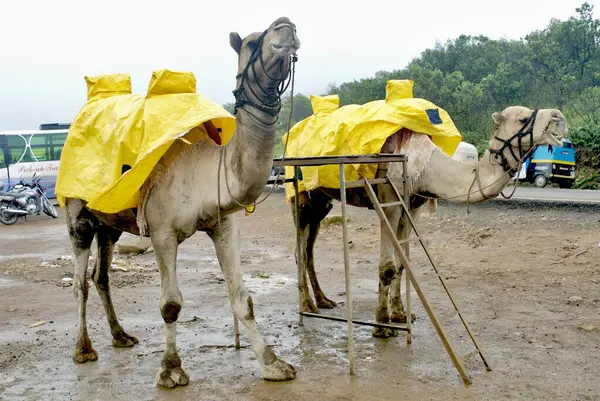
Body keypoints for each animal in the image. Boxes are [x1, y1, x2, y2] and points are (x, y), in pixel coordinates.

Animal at [63, 17, 300, 390]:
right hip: (79, 213)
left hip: (111, 224)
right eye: (250, 42)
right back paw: (83, 349)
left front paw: (274, 364)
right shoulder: (162, 232)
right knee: (79, 282)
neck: (208, 168)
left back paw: (121, 336)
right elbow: (171, 305)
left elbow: (242, 298)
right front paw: (171, 371)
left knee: (101, 276)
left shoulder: (223, 225)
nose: (285, 26)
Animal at [290, 104, 568, 336]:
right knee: (299, 248)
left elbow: (401, 264)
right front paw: (381, 325)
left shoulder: (413, 206)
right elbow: (387, 266)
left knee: (309, 247)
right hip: (300, 194)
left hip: (321, 201)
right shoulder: (389, 201)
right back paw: (307, 306)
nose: (559, 118)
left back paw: (323, 301)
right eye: (523, 118)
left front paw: (400, 315)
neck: (427, 166)